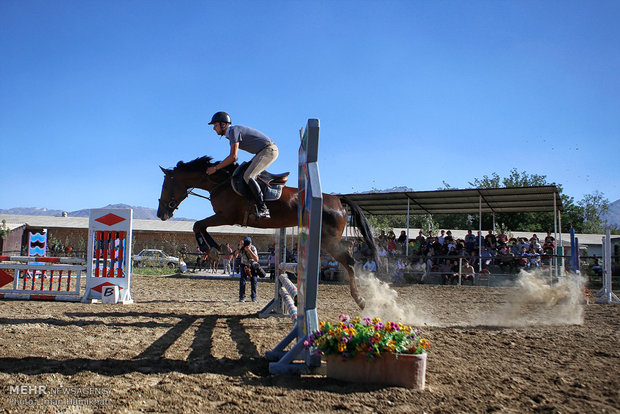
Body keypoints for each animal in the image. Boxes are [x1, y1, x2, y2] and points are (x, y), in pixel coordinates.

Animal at [155, 157, 378, 308]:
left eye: (166, 185)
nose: (161, 213)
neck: (221, 182)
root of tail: (338, 200)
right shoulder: (224, 217)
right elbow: (200, 226)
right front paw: (214, 247)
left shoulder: (227, 216)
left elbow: (198, 225)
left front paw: (209, 248)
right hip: (330, 240)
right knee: (349, 249)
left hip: (328, 241)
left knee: (349, 260)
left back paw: (361, 299)